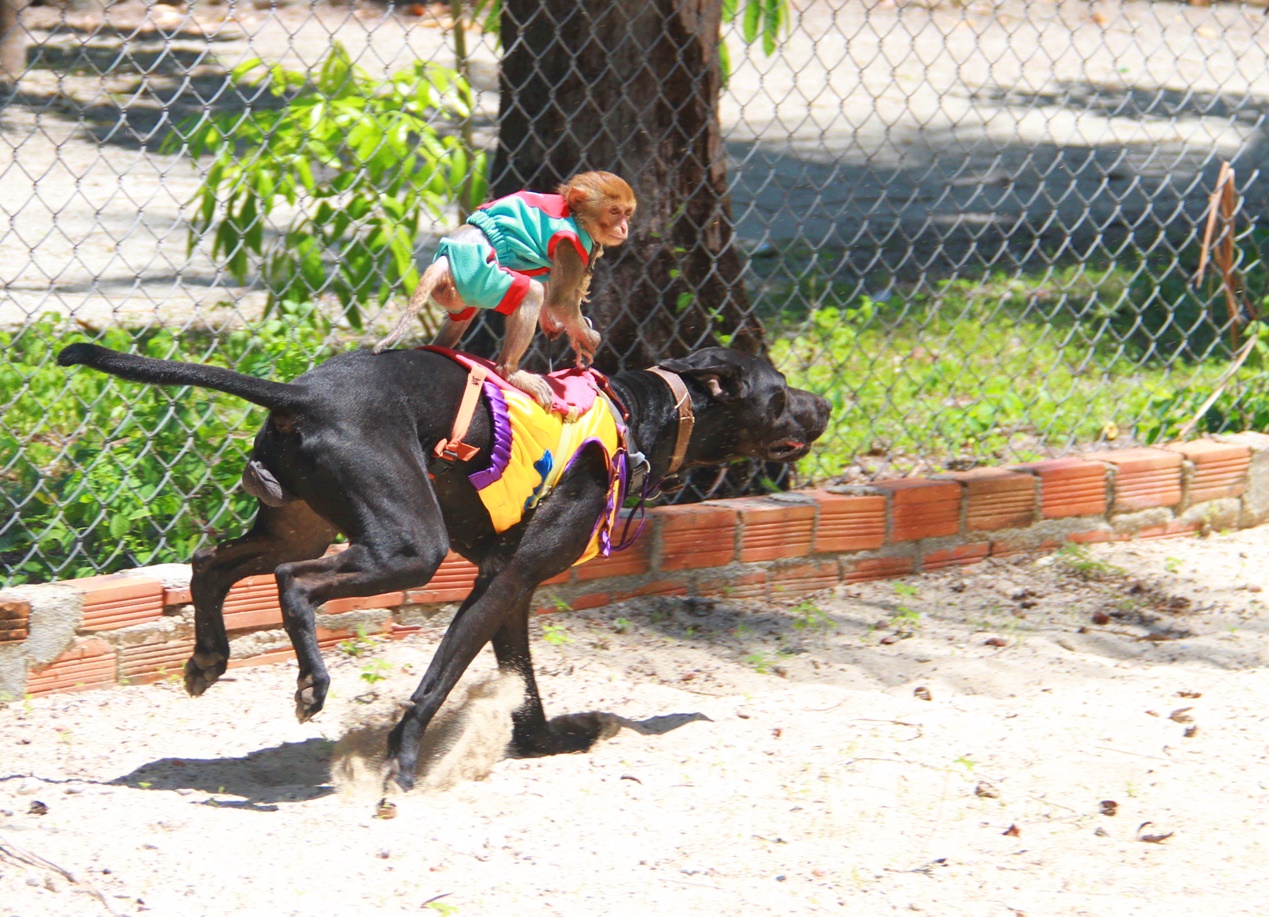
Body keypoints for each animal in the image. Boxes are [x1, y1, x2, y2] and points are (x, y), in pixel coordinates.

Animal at [59, 344, 832, 791]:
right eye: (780, 391)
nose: (824, 402)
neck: (637, 417)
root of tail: (299, 396)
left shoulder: (512, 588)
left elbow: (523, 688)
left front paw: (548, 741)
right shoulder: (500, 583)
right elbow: (436, 683)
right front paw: (403, 763)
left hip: (297, 521)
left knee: (210, 564)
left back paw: (208, 658)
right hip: (407, 547)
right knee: (295, 583)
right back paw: (311, 682)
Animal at [373, 169, 634, 405]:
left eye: (626, 214)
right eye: (614, 211)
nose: (624, 228)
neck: (572, 212)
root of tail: (446, 257)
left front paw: (557, 328)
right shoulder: (571, 244)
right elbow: (558, 301)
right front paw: (589, 339)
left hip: (463, 290)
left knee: (462, 318)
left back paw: (440, 348)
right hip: (483, 276)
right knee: (531, 293)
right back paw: (508, 371)